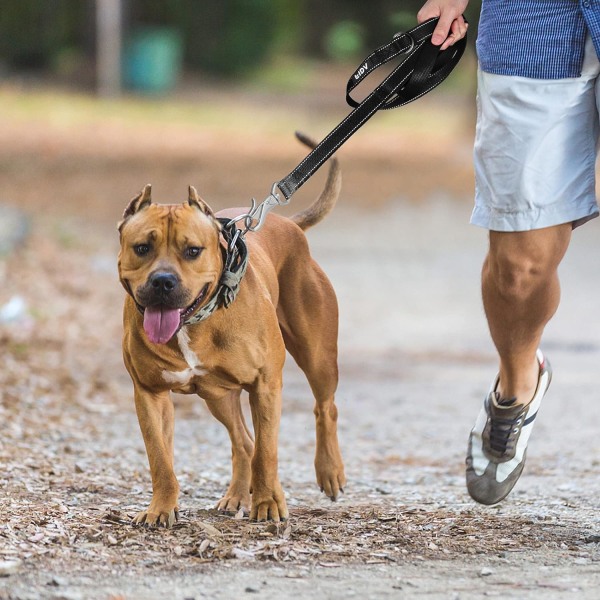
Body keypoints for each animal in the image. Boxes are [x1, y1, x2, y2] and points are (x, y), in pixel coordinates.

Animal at [116, 136, 344, 524]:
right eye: (142, 248)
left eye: (193, 250)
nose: (162, 281)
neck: (194, 324)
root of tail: (288, 223)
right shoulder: (149, 393)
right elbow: (160, 458)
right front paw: (161, 508)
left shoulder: (265, 386)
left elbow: (268, 452)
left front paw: (267, 503)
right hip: (218, 395)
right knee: (243, 442)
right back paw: (237, 495)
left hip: (318, 357)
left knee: (324, 408)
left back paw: (329, 471)